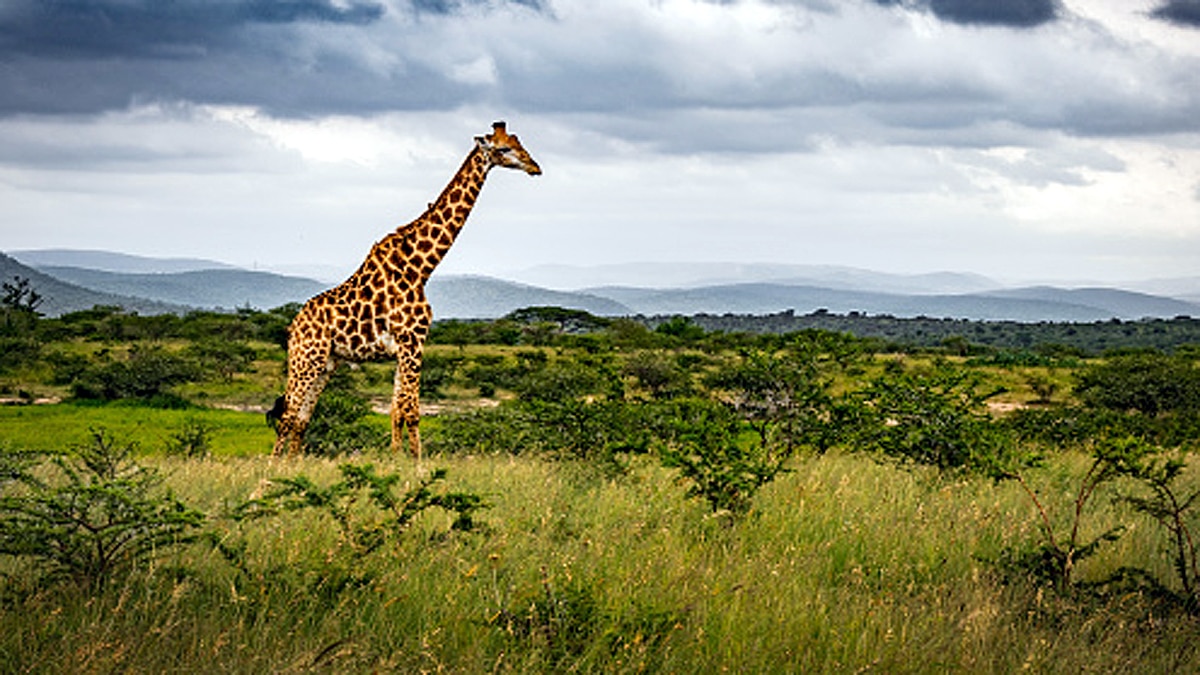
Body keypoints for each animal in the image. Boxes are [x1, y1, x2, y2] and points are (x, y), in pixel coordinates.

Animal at [271, 121, 541, 458]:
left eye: (520, 143)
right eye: (504, 149)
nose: (535, 167)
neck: (420, 268)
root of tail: (293, 326)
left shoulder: (405, 346)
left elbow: (396, 411)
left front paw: (396, 460)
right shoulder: (413, 340)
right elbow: (411, 411)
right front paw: (418, 466)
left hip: (325, 363)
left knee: (301, 419)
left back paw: (290, 468)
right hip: (306, 359)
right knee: (288, 416)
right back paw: (270, 474)